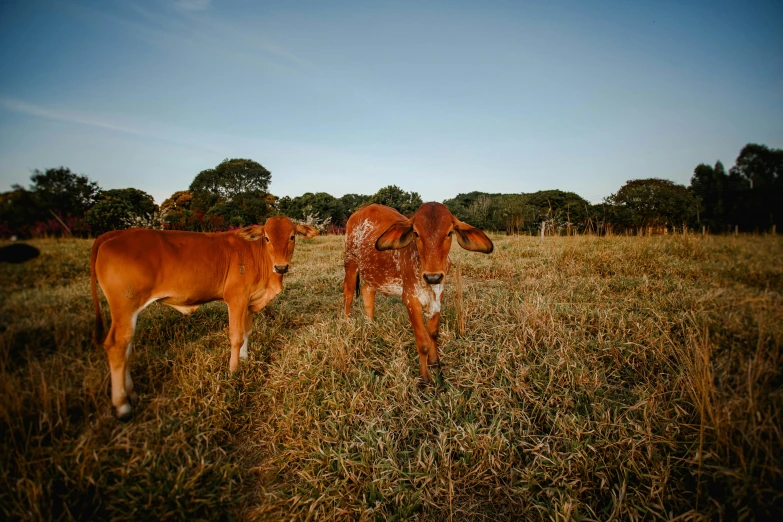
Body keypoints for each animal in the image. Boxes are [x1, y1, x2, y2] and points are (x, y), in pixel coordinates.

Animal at [93, 216, 320, 418]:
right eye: (266, 238)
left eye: (292, 236)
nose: (281, 266)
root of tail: (117, 233)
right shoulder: (236, 299)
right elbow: (236, 337)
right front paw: (233, 370)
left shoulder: (248, 303)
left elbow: (246, 332)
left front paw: (244, 360)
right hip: (125, 307)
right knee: (116, 346)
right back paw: (122, 405)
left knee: (127, 348)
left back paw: (131, 394)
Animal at [344, 203, 494, 382]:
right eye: (416, 233)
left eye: (449, 233)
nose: (433, 276)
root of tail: (361, 211)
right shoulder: (411, 300)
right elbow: (422, 341)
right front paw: (425, 377)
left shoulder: (438, 296)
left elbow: (433, 333)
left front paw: (435, 362)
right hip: (350, 263)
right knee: (348, 294)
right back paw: (345, 324)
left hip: (372, 273)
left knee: (367, 291)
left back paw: (371, 326)